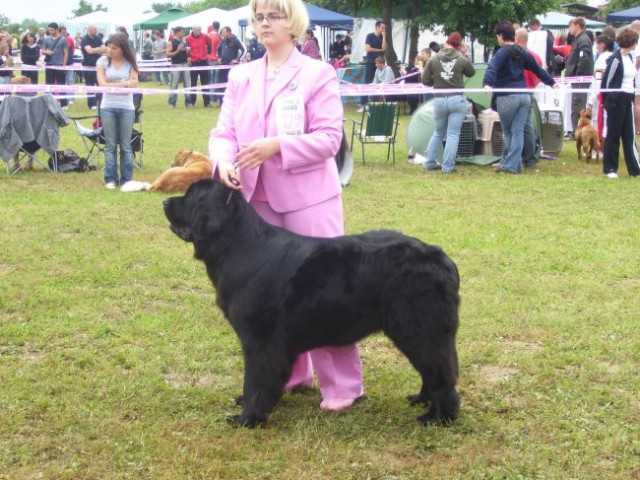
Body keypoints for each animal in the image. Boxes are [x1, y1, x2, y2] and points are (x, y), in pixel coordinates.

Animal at [164, 180, 460, 428]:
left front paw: (247, 418)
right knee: (432, 369)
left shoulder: (260, 340)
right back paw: (421, 400)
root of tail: (441, 258)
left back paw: (439, 417)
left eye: (189, 197)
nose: (165, 201)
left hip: (419, 329)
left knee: (441, 371)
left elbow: (255, 381)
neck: (240, 245)